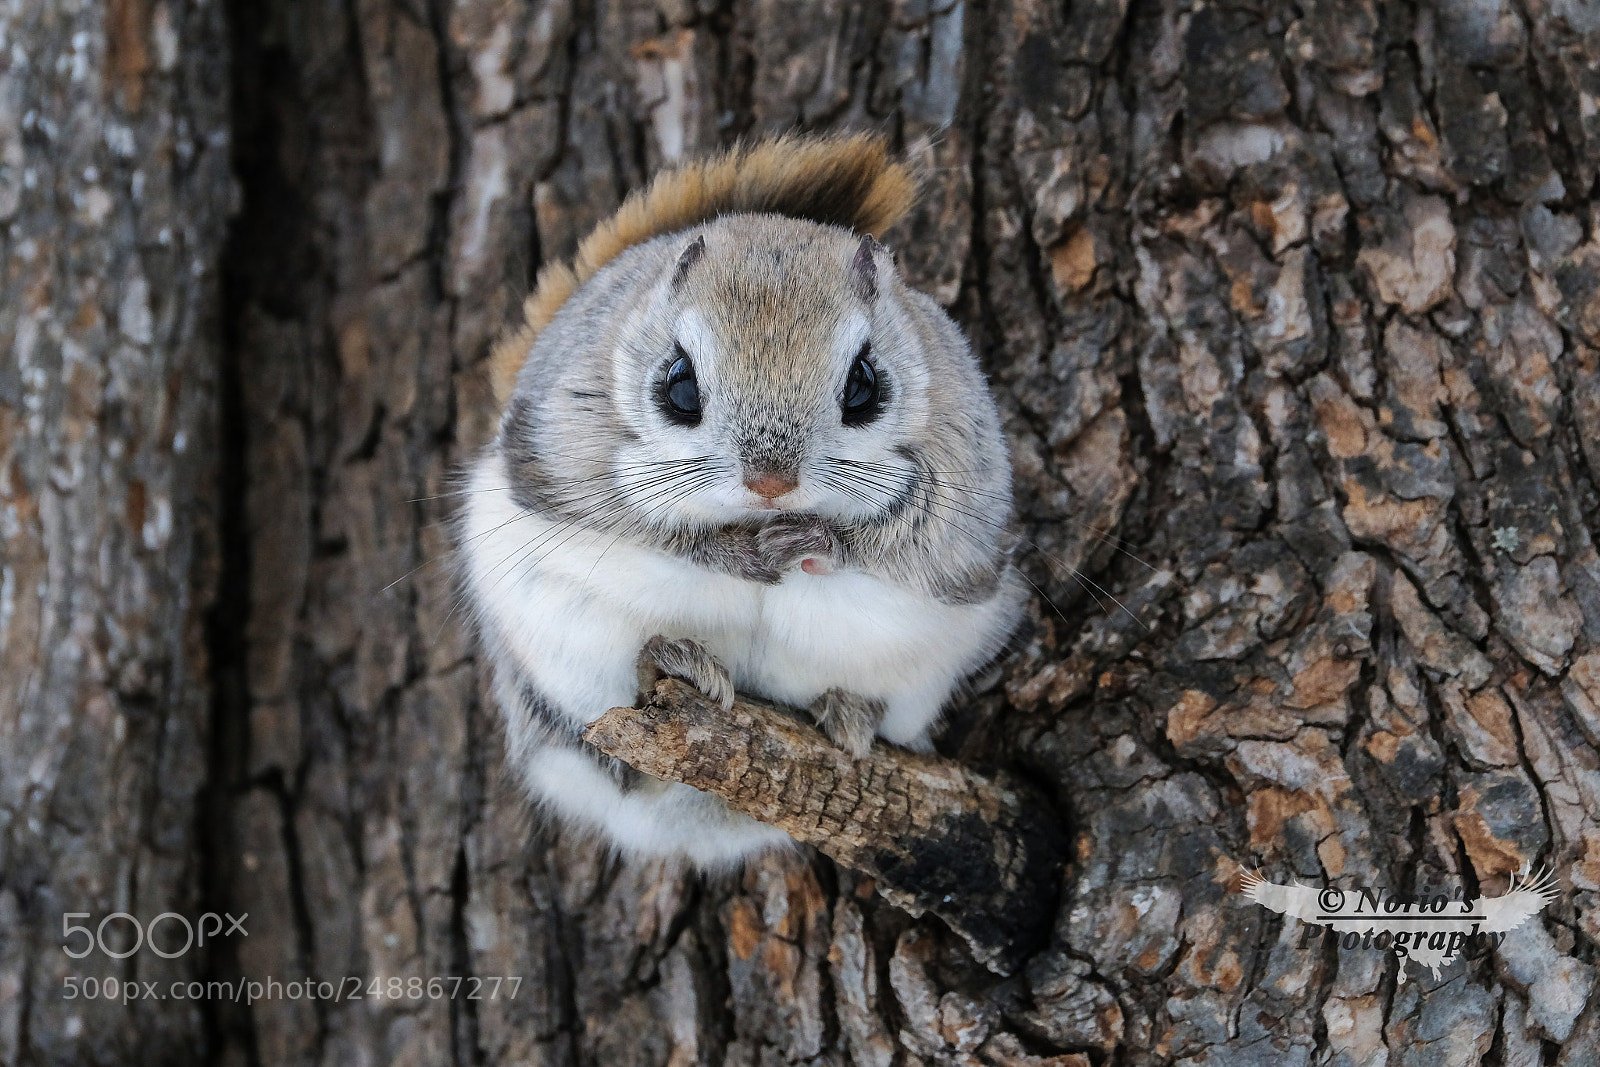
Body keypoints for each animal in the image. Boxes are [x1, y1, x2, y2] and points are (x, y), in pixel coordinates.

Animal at [457, 134, 1025, 869]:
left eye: (865, 386)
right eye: (677, 384)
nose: (771, 483)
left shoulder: (966, 482)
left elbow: (905, 539)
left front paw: (818, 542)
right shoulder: (566, 443)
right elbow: (644, 522)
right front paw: (734, 553)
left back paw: (849, 713)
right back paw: (671, 663)